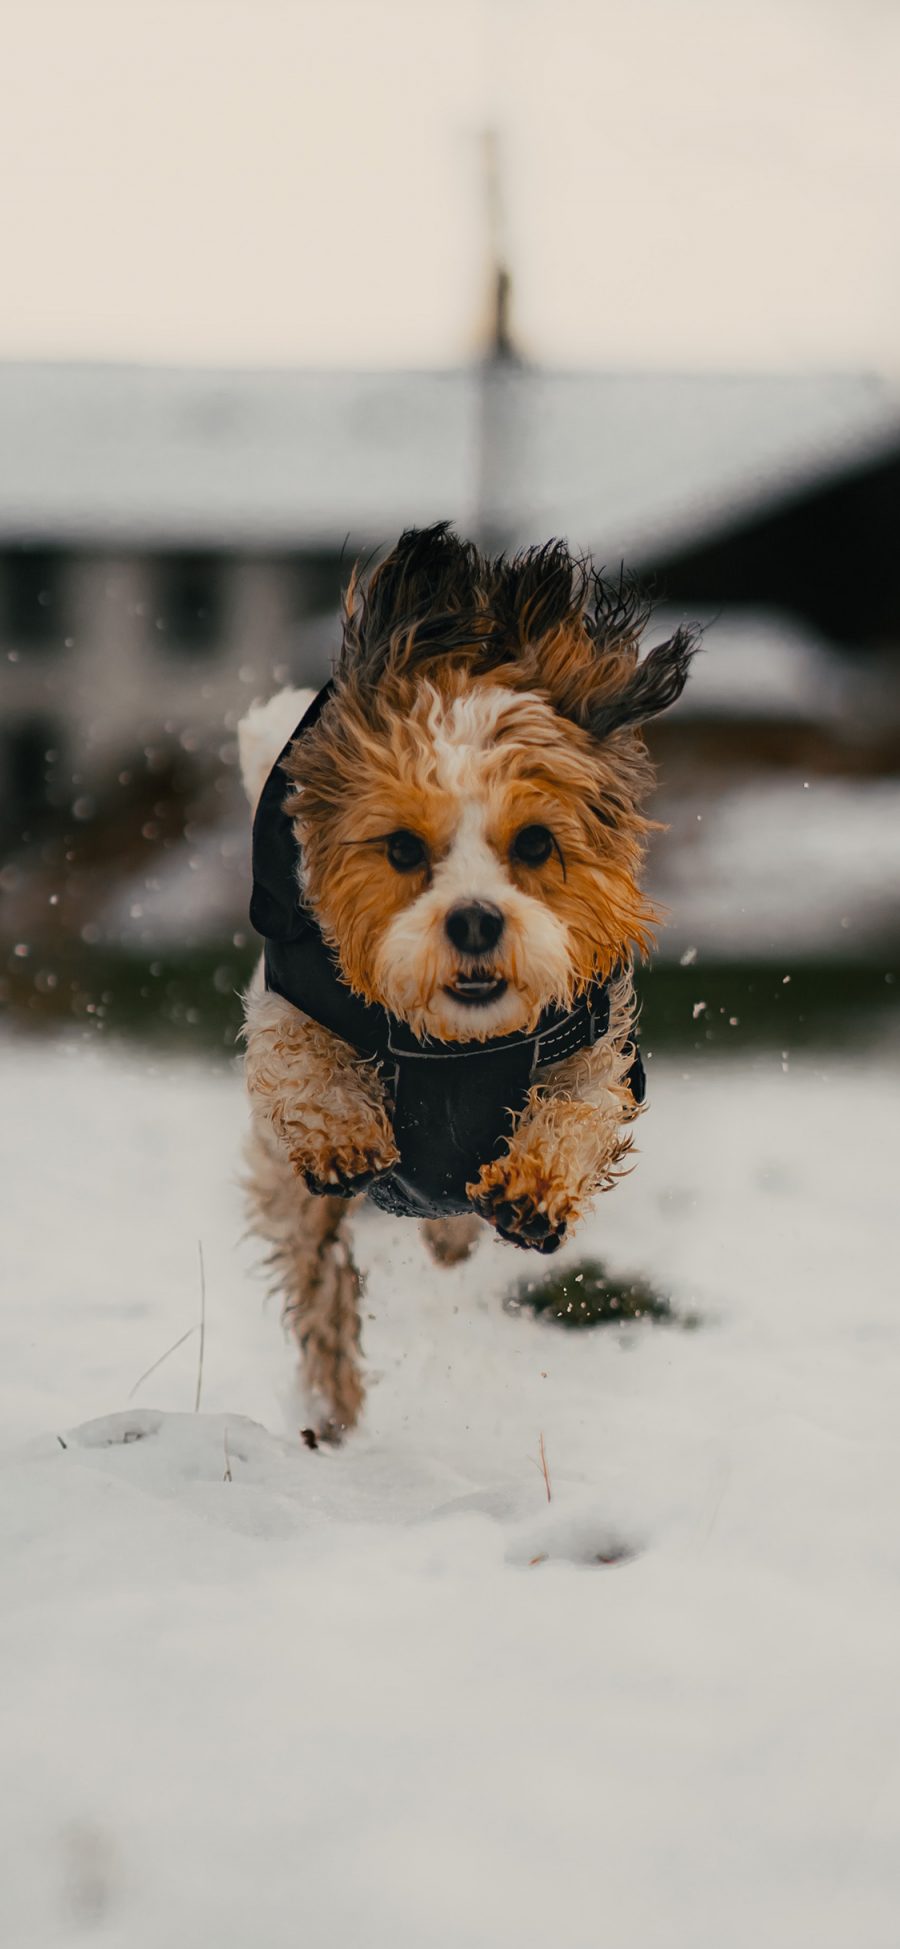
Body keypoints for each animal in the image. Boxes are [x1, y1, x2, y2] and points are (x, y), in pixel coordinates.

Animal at [237, 526, 697, 1442]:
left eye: (535, 843)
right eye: (403, 849)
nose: (476, 920)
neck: (456, 1047)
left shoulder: (592, 1036)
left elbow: (578, 1110)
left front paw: (533, 1189)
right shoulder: (288, 998)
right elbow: (301, 1057)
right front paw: (344, 1132)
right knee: (323, 1285)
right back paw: (334, 1404)